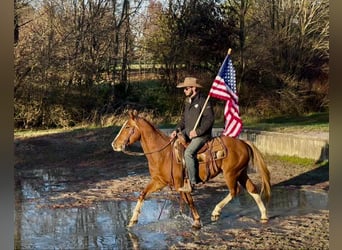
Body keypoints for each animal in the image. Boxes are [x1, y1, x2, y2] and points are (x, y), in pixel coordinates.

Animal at [111, 109, 272, 229]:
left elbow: (189, 200)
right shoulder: (159, 181)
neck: (164, 154)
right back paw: (264, 215)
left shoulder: (181, 184)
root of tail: (243, 142)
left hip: (231, 174)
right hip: (241, 172)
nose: (114, 144)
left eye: (127, 127)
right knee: (252, 189)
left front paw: (197, 221)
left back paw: (216, 211)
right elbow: (142, 194)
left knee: (235, 191)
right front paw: (133, 220)